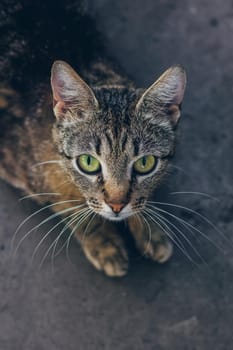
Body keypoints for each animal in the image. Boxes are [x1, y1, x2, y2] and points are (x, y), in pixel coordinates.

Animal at [0, 0, 186, 276]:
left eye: (145, 163)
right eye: (88, 162)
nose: (117, 206)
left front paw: (149, 229)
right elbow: (68, 203)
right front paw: (104, 243)